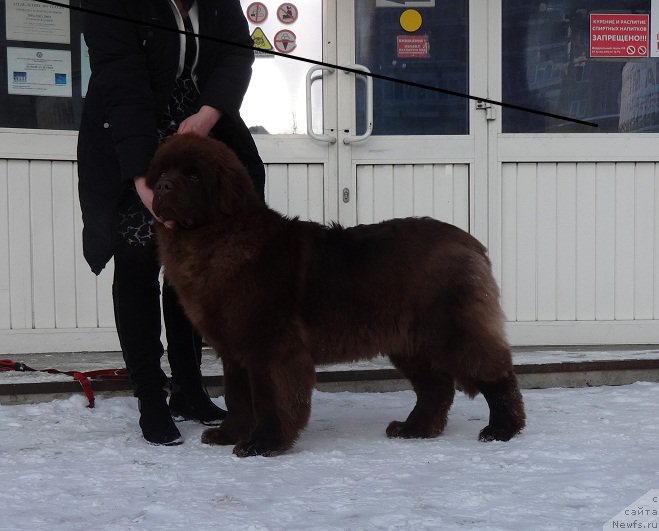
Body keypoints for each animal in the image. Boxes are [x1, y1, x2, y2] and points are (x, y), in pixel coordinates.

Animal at [148, 133, 524, 458]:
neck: (217, 239)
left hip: (449, 329)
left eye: (193, 176)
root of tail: (468, 241)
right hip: (410, 340)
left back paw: (502, 428)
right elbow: (237, 397)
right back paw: (414, 429)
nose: (163, 187)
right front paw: (229, 434)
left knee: (493, 372)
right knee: (436, 387)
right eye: (163, 173)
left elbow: (269, 398)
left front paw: (263, 444)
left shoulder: (269, 348)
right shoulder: (234, 350)